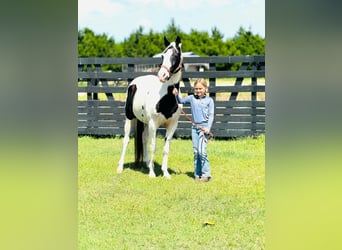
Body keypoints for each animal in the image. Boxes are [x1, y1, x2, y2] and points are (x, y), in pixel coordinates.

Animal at [117, 36, 183, 178]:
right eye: (162, 56)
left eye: (175, 55)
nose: (162, 75)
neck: (166, 97)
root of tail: (134, 82)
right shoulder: (154, 124)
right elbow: (153, 146)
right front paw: (152, 174)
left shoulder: (172, 125)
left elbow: (166, 149)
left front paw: (165, 173)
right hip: (130, 118)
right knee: (126, 140)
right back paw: (120, 167)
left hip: (145, 122)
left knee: (143, 139)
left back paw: (147, 163)